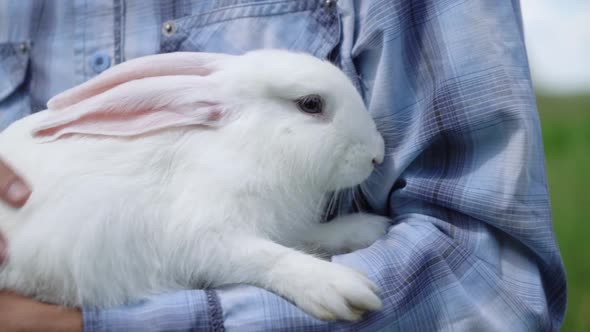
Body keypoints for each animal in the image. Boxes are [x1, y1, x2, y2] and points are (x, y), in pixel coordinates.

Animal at [0, 50, 388, 322]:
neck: (243, 146)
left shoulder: (280, 224)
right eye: (311, 104)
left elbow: (307, 236)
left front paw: (366, 227)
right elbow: (265, 256)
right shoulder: (205, 238)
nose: (378, 156)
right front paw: (338, 287)